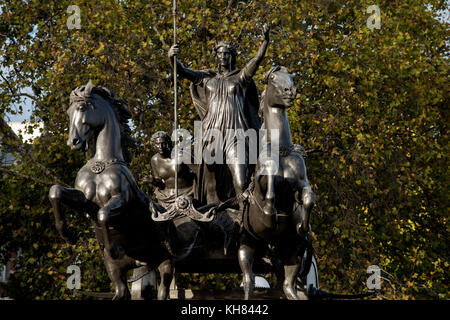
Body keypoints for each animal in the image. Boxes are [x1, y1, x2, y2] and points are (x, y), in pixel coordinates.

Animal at [48, 81, 173, 298]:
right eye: (68, 112)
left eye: (82, 108)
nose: (73, 143)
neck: (102, 164)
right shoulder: (85, 200)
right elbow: (56, 191)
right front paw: (68, 233)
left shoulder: (120, 198)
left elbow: (103, 214)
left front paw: (114, 248)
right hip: (117, 269)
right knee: (121, 292)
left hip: (166, 263)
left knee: (163, 290)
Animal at [237, 67, 314, 300]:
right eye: (272, 78)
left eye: (293, 77)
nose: (291, 91)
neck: (281, 151)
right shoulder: (263, 181)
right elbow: (269, 190)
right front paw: (271, 216)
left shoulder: (302, 182)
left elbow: (308, 198)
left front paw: (303, 226)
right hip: (246, 247)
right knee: (249, 281)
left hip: (293, 254)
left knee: (289, 287)